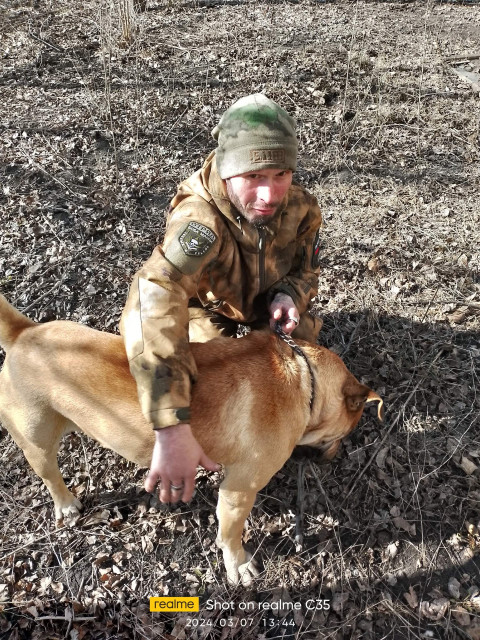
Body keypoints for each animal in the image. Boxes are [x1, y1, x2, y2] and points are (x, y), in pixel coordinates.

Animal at [0, 296, 382, 584]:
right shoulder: (238, 490)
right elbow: (230, 535)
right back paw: (65, 503)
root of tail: (23, 333)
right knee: (50, 475)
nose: (333, 458)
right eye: (343, 433)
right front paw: (238, 565)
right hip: (36, 442)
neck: (305, 378)